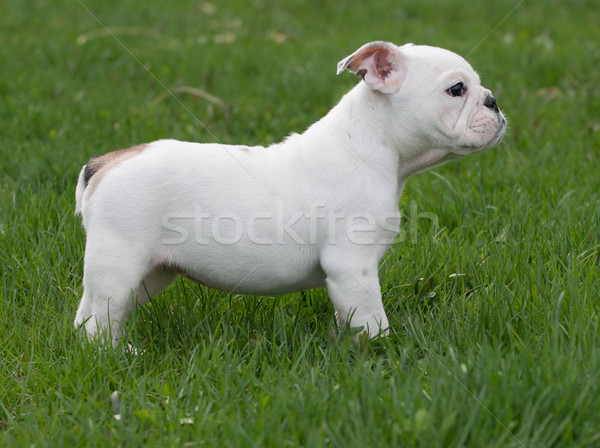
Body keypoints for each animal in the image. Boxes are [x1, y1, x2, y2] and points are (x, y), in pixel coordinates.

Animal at [75, 41, 506, 344]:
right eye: (456, 89)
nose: (494, 101)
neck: (372, 146)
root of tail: (107, 161)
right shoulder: (353, 267)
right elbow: (372, 319)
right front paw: (384, 350)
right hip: (119, 266)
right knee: (101, 322)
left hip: (150, 274)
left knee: (87, 317)